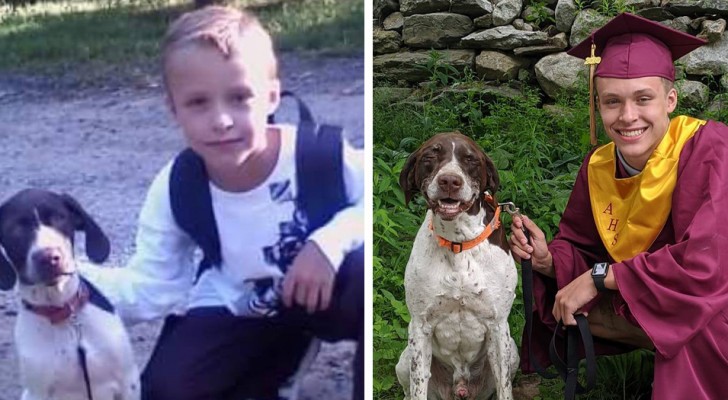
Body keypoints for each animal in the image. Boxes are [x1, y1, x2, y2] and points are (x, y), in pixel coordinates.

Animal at [0, 190, 139, 400]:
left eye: (59, 217)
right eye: (15, 229)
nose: (49, 257)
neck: (62, 312)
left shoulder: (129, 383)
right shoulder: (39, 394)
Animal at [396, 132, 520, 400]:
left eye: (470, 159)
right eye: (430, 155)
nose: (450, 181)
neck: (458, 242)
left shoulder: (498, 326)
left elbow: (505, 387)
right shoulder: (419, 327)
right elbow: (418, 385)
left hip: (512, 350)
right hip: (405, 358)